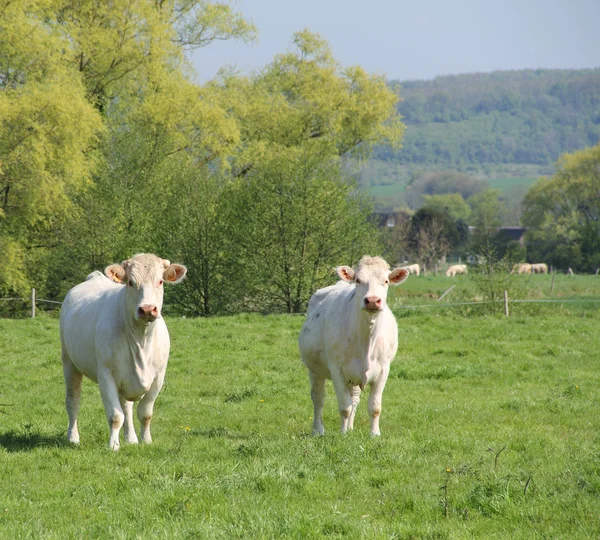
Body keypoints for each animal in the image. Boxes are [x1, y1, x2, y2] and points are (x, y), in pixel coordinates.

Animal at [59, 255, 186, 450]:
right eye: (131, 282)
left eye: (160, 281)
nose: (147, 309)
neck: (141, 340)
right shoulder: (106, 374)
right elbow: (115, 416)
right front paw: (113, 445)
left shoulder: (158, 377)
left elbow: (145, 413)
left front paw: (146, 440)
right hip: (69, 361)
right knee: (73, 400)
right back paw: (73, 437)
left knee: (126, 406)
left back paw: (131, 438)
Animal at [298, 255, 410, 436]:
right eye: (358, 280)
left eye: (386, 281)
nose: (372, 300)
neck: (366, 340)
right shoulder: (336, 370)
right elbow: (344, 407)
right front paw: (343, 434)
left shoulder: (383, 370)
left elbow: (374, 407)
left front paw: (374, 434)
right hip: (315, 369)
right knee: (318, 398)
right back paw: (318, 430)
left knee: (354, 398)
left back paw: (350, 427)